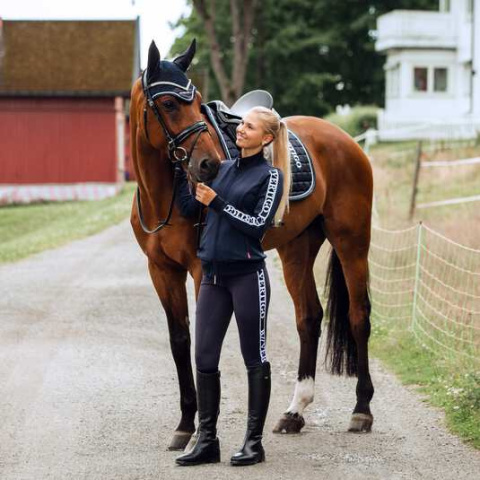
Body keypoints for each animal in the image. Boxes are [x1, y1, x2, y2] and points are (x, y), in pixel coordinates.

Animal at [130, 40, 376, 450]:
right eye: (168, 104)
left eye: (198, 102)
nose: (210, 166)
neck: (164, 194)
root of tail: (345, 139)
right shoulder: (161, 270)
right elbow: (180, 340)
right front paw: (184, 425)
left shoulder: (201, 270)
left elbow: (204, 341)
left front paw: (201, 430)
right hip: (297, 249)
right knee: (309, 318)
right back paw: (295, 411)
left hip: (352, 242)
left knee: (359, 316)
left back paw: (362, 409)